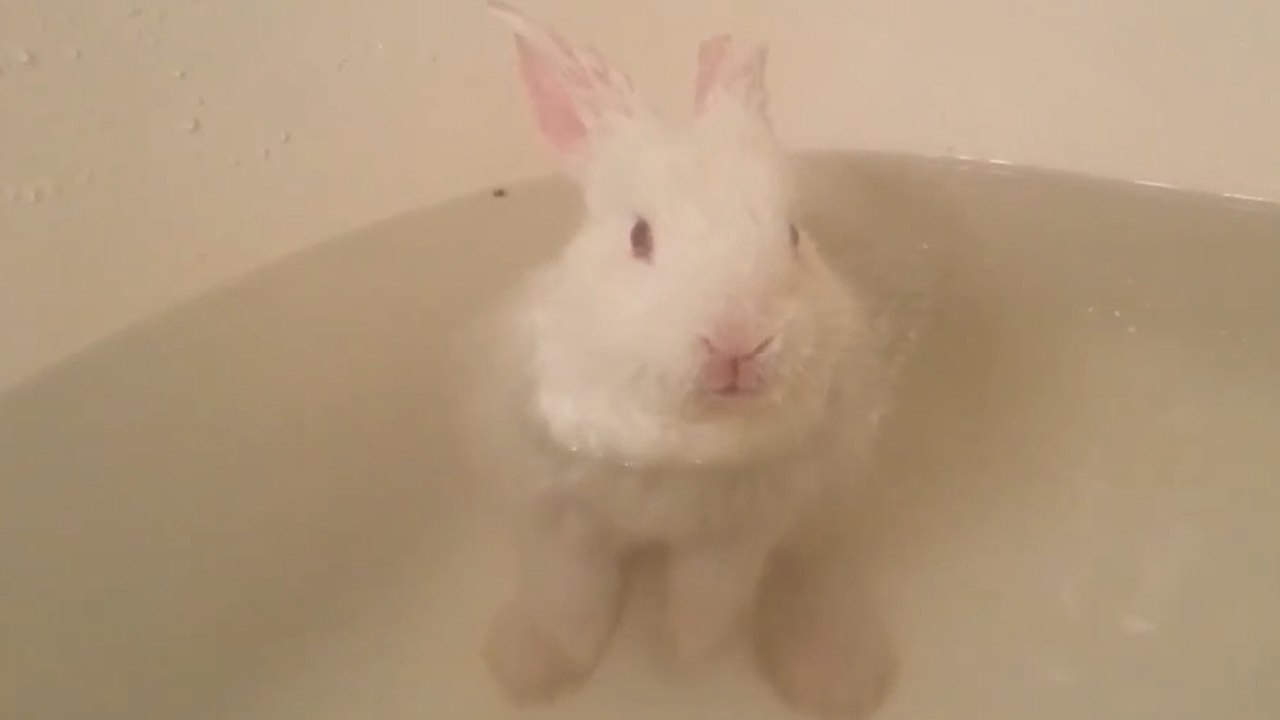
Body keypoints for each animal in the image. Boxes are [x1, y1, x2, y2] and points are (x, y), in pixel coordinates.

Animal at [475, 3, 895, 717]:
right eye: (640, 237)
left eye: (792, 235)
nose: (739, 342)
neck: (682, 442)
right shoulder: (562, 513)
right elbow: (573, 597)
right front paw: (557, 668)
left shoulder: (740, 530)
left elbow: (708, 597)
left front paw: (682, 657)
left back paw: (832, 679)